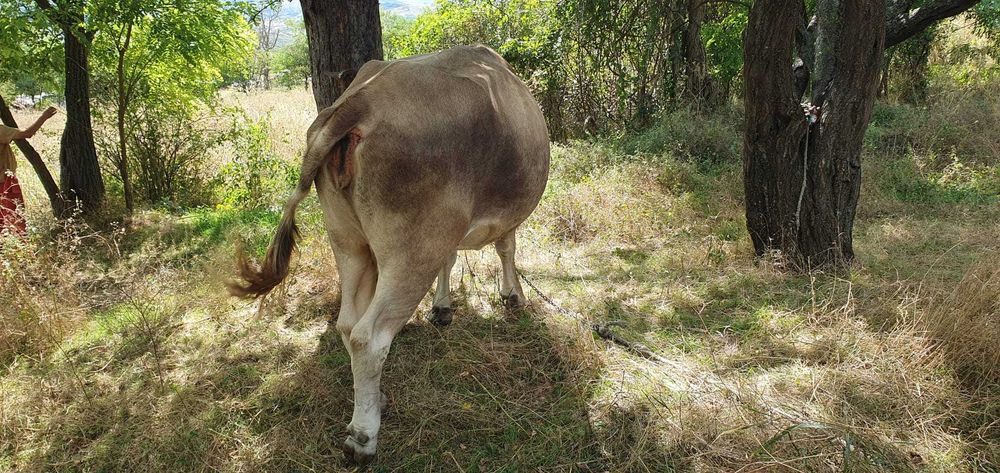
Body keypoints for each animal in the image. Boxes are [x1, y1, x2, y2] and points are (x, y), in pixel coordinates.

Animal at [228, 45, 550, 464]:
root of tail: (360, 100)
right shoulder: (493, 222)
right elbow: (506, 248)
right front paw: (513, 295)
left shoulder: (446, 237)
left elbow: (451, 261)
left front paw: (442, 307)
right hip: (411, 249)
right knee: (370, 337)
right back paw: (363, 436)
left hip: (349, 242)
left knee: (348, 325)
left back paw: (374, 398)